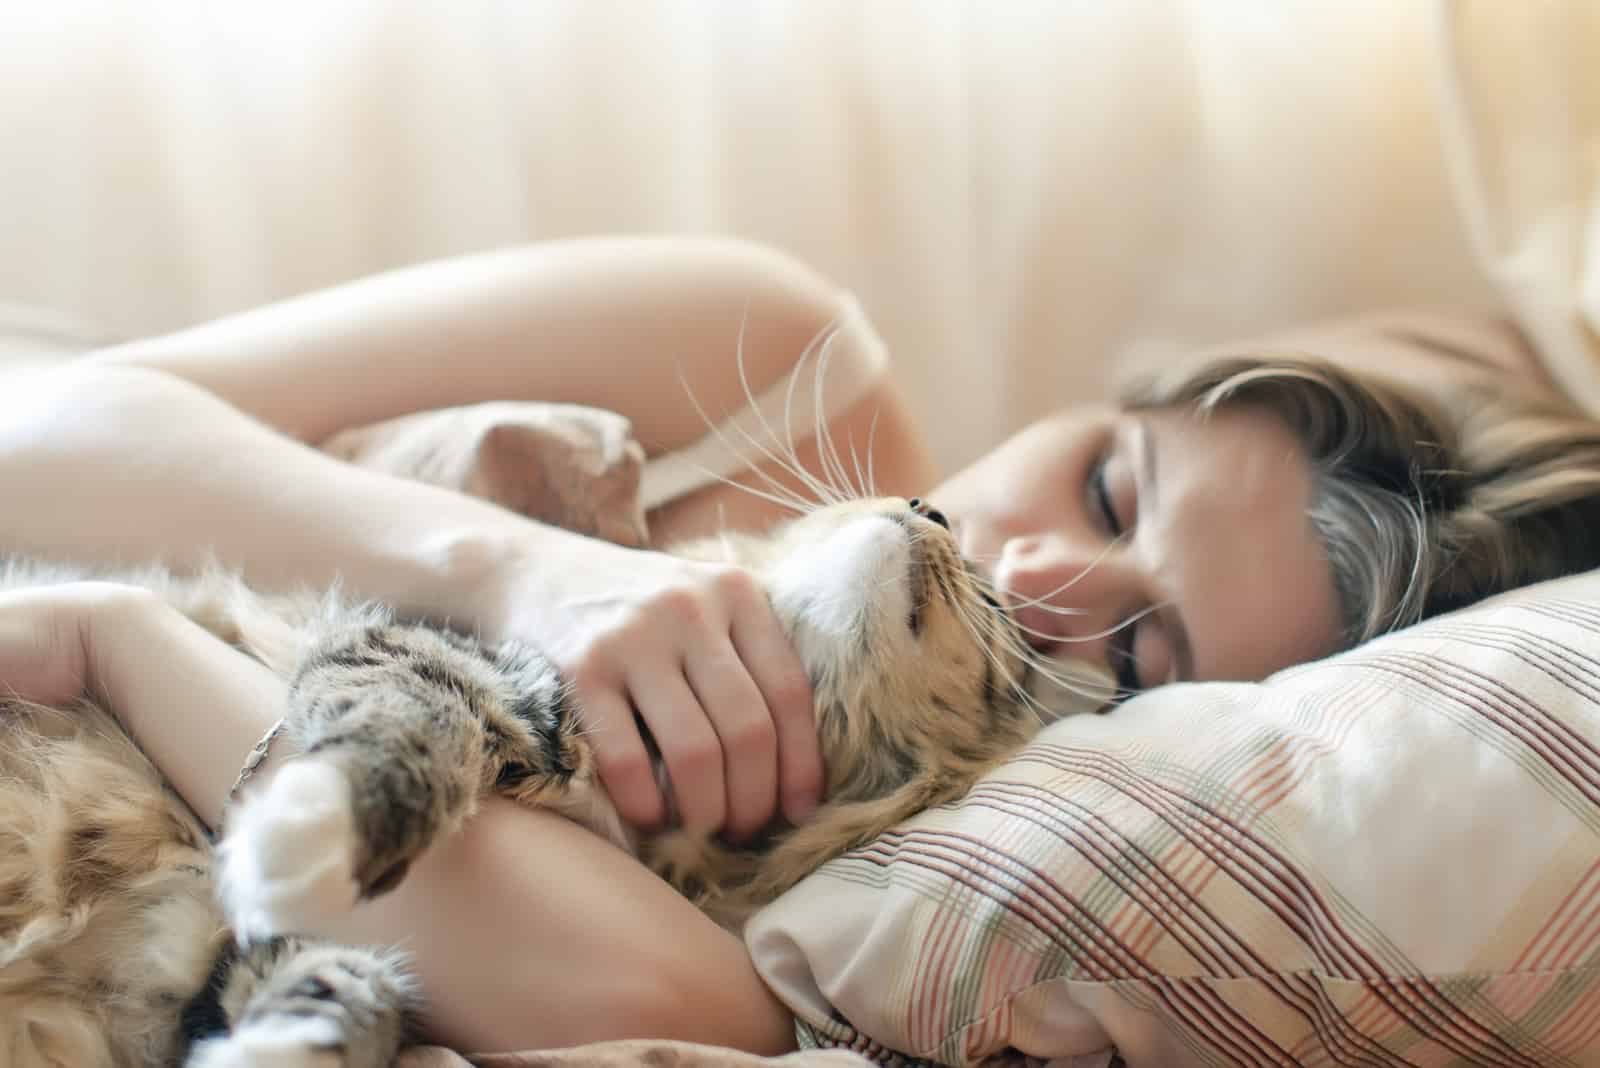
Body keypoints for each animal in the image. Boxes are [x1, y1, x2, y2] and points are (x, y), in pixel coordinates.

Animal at [0, 498, 1094, 1068]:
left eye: (997, 610)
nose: (928, 504)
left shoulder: (246, 968)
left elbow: (338, 1001)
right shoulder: (416, 653)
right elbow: (407, 721)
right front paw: (305, 832)